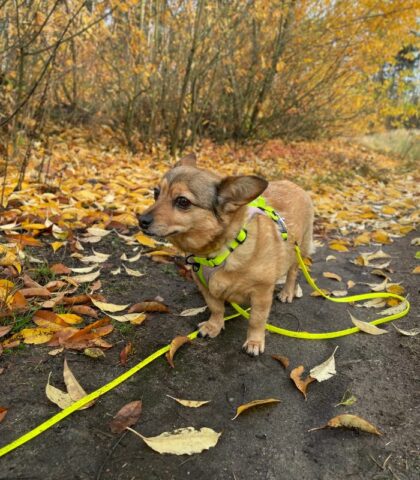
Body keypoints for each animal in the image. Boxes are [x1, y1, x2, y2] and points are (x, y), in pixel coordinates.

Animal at [139, 154, 314, 356]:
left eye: (183, 201)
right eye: (156, 193)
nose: (141, 220)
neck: (219, 252)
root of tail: (295, 185)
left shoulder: (261, 293)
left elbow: (257, 320)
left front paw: (254, 341)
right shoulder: (206, 287)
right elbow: (216, 308)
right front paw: (214, 326)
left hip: (298, 251)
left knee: (292, 273)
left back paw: (287, 292)